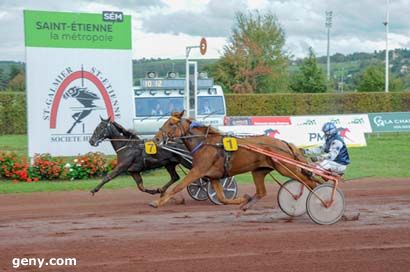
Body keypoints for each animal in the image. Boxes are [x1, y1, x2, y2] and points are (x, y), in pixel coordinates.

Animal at [152, 111, 316, 209]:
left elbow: (178, 187)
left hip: (286, 168)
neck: (205, 143)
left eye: (171, 124)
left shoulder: (197, 171)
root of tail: (283, 143)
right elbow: (222, 198)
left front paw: (157, 202)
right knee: (262, 192)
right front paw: (243, 199)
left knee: (309, 182)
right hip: (259, 171)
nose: (156, 139)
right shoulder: (213, 176)